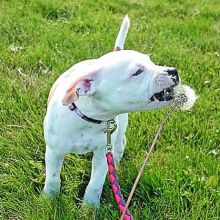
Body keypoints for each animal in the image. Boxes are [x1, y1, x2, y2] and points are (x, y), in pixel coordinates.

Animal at [42, 15, 179, 206]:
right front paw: (49, 197)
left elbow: (95, 183)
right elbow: (53, 177)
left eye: (151, 61)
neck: (89, 118)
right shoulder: (54, 151)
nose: (174, 71)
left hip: (121, 126)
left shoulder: (102, 154)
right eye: (137, 72)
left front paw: (90, 206)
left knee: (120, 144)